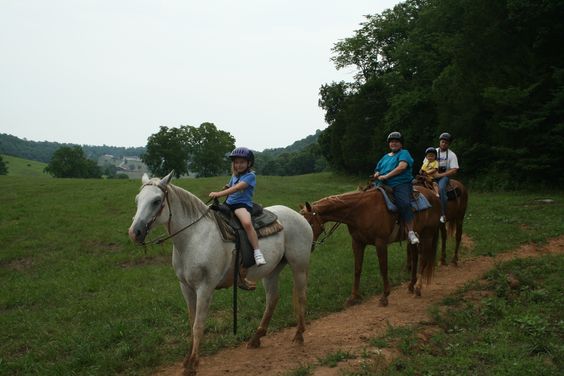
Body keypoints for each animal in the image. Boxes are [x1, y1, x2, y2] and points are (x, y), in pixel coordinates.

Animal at [126, 173, 312, 374]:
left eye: (156, 201)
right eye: (137, 200)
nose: (134, 232)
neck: (194, 237)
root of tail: (300, 217)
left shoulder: (205, 288)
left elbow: (198, 325)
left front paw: (193, 364)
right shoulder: (186, 287)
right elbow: (191, 321)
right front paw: (187, 359)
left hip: (299, 266)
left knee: (301, 295)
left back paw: (299, 335)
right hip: (272, 270)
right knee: (272, 298)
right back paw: (256, 338)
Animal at [302, 187, 442, 306]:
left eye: (308, 223)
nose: (309, 247)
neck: (360, 211)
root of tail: (434, 196)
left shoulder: (380, 243)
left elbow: (383, 268)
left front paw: (385, 296)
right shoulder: (357, 243)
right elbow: (357, 269)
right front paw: (353, 297)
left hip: (427, 235)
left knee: (423, 259)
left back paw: (418, 287)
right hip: (413, 239)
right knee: (414, 258)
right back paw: (411, 285)